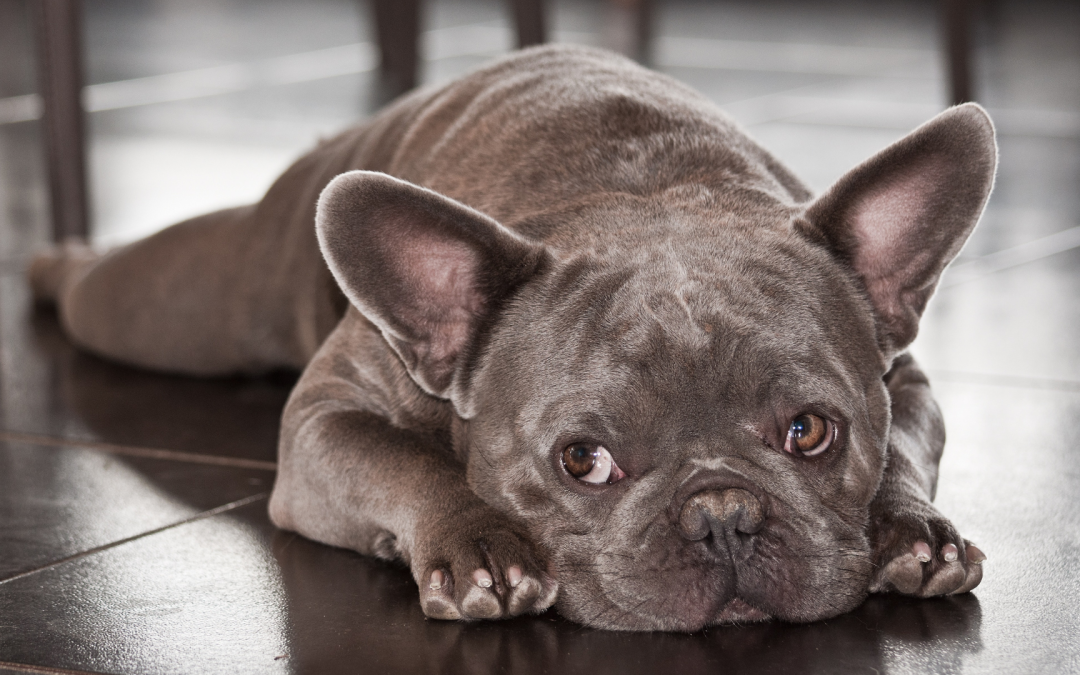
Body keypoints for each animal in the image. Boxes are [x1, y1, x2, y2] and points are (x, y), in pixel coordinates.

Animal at [31, 44, 993, 630]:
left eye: (809, 431)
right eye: (583, 460)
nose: (723, 514)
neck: (640, 195)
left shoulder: (908, 382)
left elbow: (904, 447)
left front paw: (914, 529)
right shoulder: (320, 426)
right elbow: (406, 460)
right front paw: (478, 545)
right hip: (197, 301)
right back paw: (53, 263)